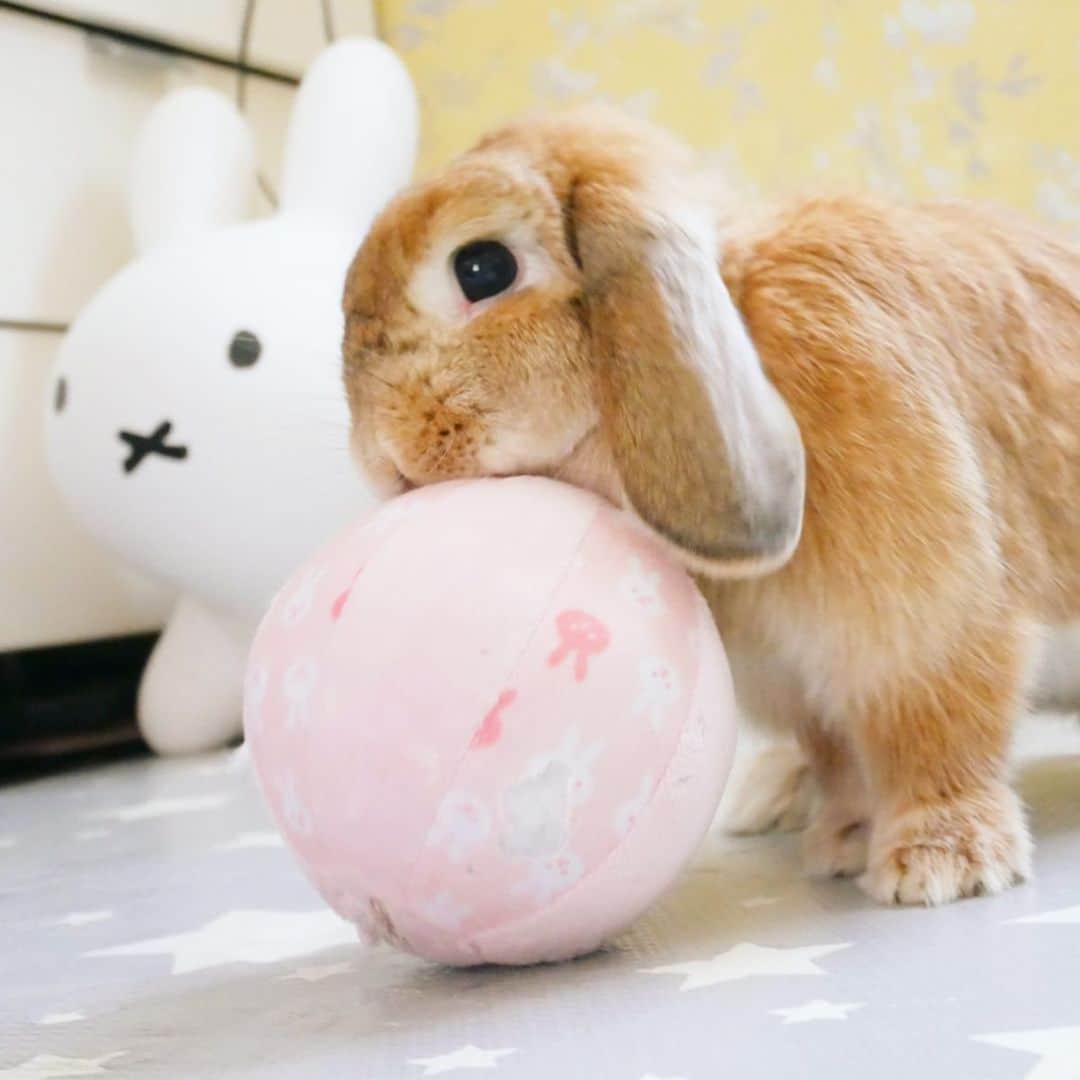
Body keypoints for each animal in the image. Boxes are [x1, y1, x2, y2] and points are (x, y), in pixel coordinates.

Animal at [340, 105, 1080, 906]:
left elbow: (941, 738)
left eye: (482, 268)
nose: (382, 456)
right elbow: (839, 757)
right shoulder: (799, 679)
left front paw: (941, 863)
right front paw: (845, 838)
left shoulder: (929, 633)